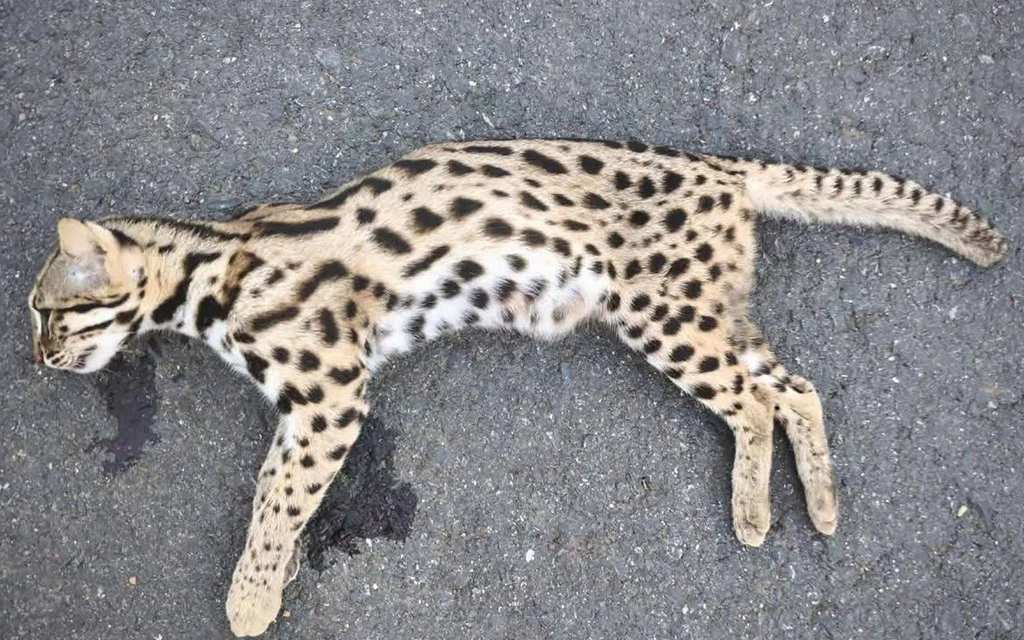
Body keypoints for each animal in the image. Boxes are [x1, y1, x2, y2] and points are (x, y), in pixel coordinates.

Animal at [27, 138, 1007, 636]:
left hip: (665, 314)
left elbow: (275, 503)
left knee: (761, 400)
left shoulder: (329, 395)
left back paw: (752, 511)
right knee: (797, 389)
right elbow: (280, 495)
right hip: (709, 312)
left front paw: (251, 598)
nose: (35, 359)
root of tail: (722, 168)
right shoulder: (317, 402)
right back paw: (814, 506)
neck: (213, 267)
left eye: (47, 313)